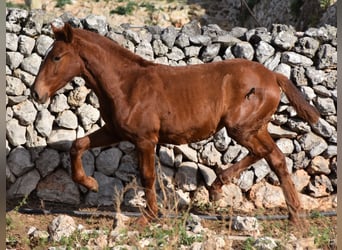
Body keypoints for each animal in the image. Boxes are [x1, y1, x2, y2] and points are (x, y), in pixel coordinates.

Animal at [32, 22, 320, 226]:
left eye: (56, 57)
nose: (36, 93)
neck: (127, 84)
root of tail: (272, 75)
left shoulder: (145, 139)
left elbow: (147, 176)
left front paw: (149, 216)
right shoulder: (115, 130)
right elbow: (78, 144)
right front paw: (90, 183)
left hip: (241, 128)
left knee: (265, 153)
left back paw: (218, 187)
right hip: (255, 128)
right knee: (277, 158)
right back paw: (294, 216)